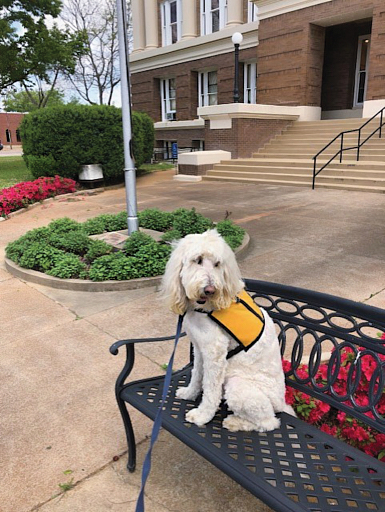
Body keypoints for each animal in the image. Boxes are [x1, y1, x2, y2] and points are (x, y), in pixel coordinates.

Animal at [161, 230, 294, 430]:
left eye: (217, 264)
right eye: (198, 260)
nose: (210, 289)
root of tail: (281, 403)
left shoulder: (215, 353)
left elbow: (210, 388)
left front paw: (202, 416)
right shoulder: (200, 348)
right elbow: (196, 374)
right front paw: (189, 393)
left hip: (240, 387)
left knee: (269, 422)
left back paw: (234, 422)